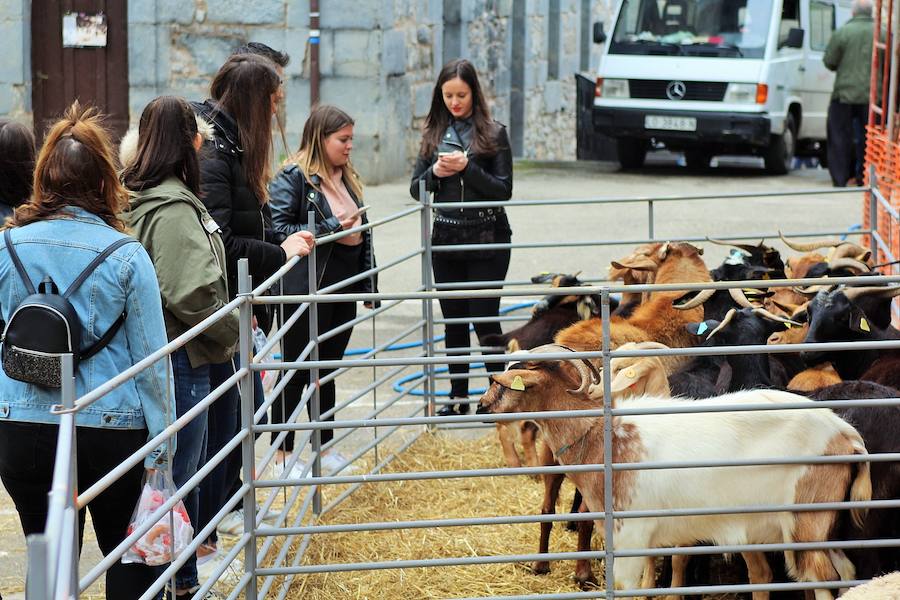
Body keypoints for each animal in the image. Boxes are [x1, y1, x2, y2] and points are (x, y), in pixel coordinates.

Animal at [486, 346, 872, 600]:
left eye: (508, 382)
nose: (482, 405)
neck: (605, 436)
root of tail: (846, 435)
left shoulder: (631, 535)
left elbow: (627, 588)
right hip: (822, 525)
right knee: (846, 570)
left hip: (805, 520)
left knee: (822, 576)